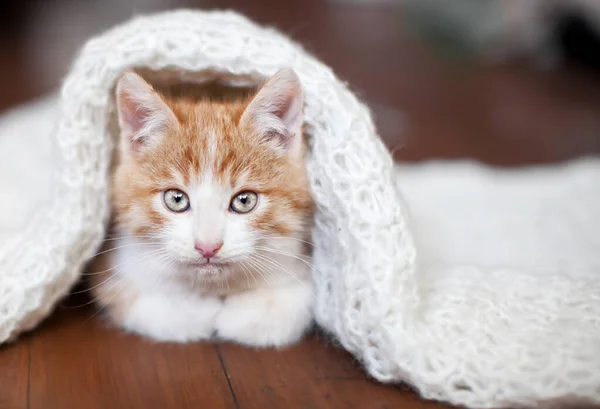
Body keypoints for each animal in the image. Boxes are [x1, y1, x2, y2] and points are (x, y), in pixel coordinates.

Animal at [89, 68, 316, 346]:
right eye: (176, 199)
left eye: (244, 201)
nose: (208, 247)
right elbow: (134, 300)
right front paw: (193, 310)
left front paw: (247, 313)